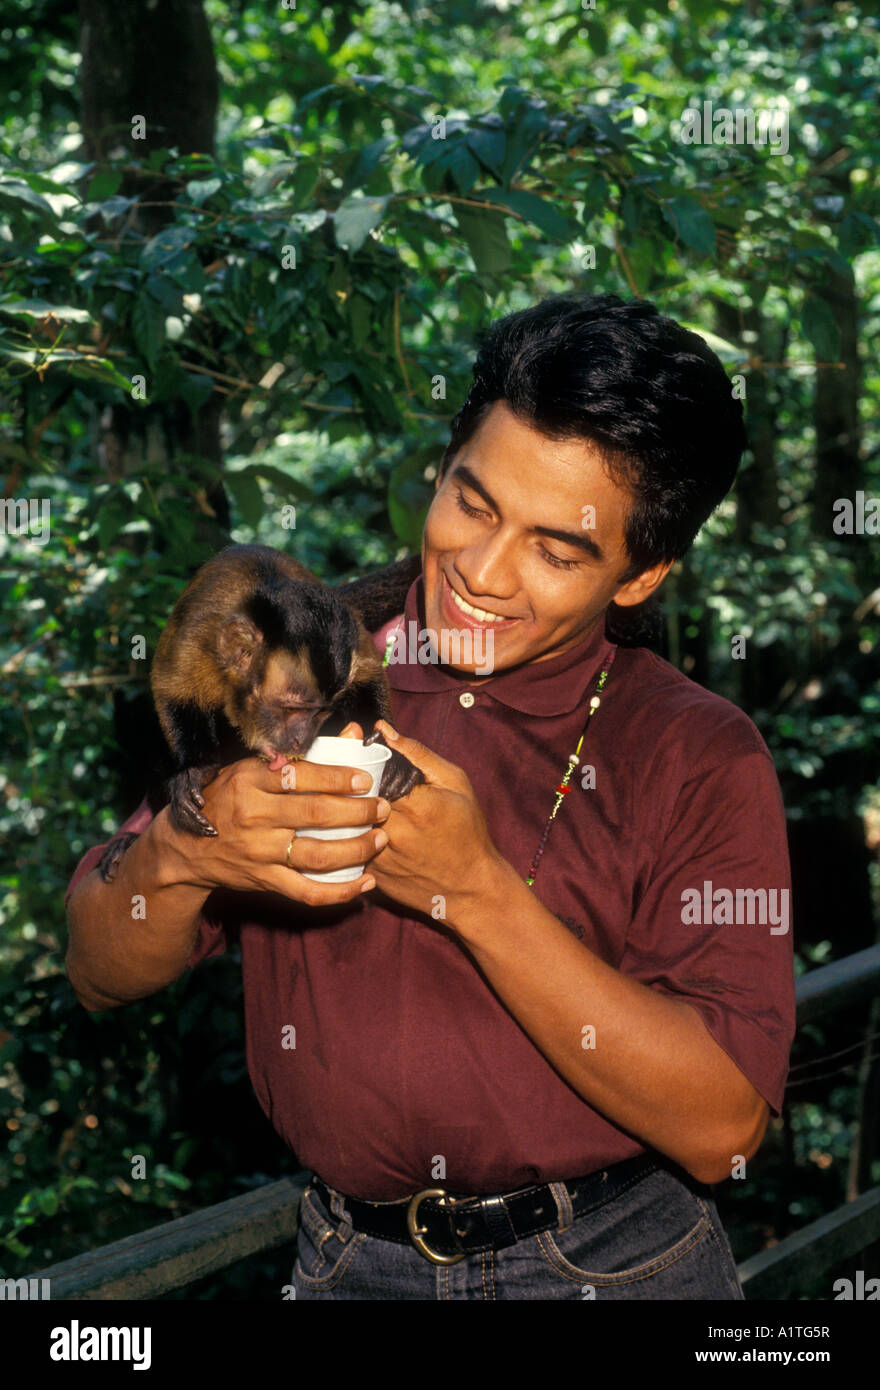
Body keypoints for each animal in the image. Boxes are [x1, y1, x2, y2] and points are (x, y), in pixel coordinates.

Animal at [95, 542, 425, 878]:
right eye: (290, 708)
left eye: (322, 713)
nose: (301, 741)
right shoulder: (199, 637)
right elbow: (170, 688)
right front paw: (195, 771)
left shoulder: (351, 638)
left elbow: (370, 677)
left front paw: (391, 756)